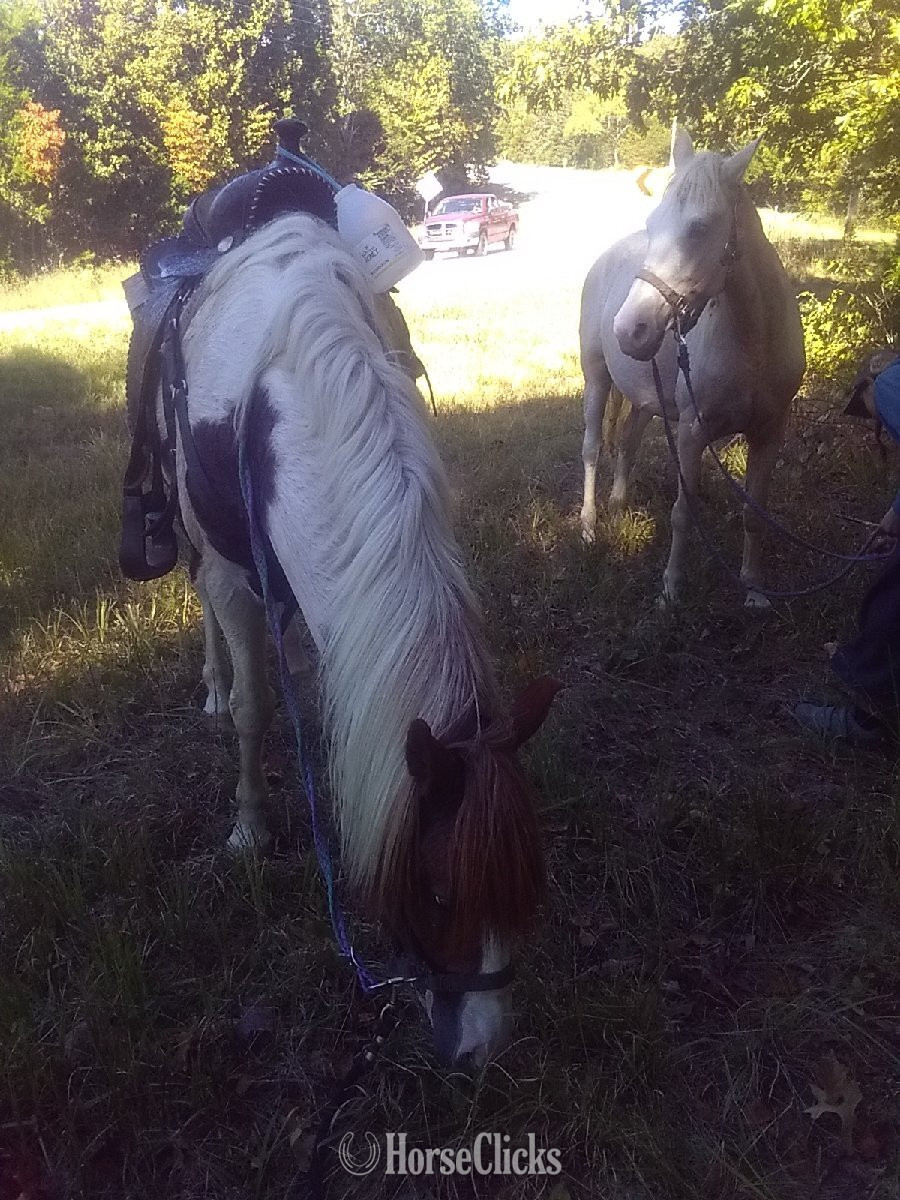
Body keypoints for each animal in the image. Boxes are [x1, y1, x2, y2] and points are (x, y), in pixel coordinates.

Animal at [160, 211, 559, 1067]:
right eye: (437, 892)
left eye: (523, 887)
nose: (483, 1050)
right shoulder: (234, 575)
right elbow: (255, 709)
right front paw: (248, 826)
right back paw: (212, 686)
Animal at [579, 130, 806, 606]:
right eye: (652, 223)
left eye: (700, 228)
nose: (630, 329)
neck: (753, 343)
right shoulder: (690, 433)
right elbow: (683, 513)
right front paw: (671, 590)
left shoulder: (770, 432)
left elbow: (754, 513)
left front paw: (753, 588)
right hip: (596, 379)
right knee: (591, 447)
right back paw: (589, 526)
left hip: (646, 399)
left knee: (626, 442)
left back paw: (618, 505)